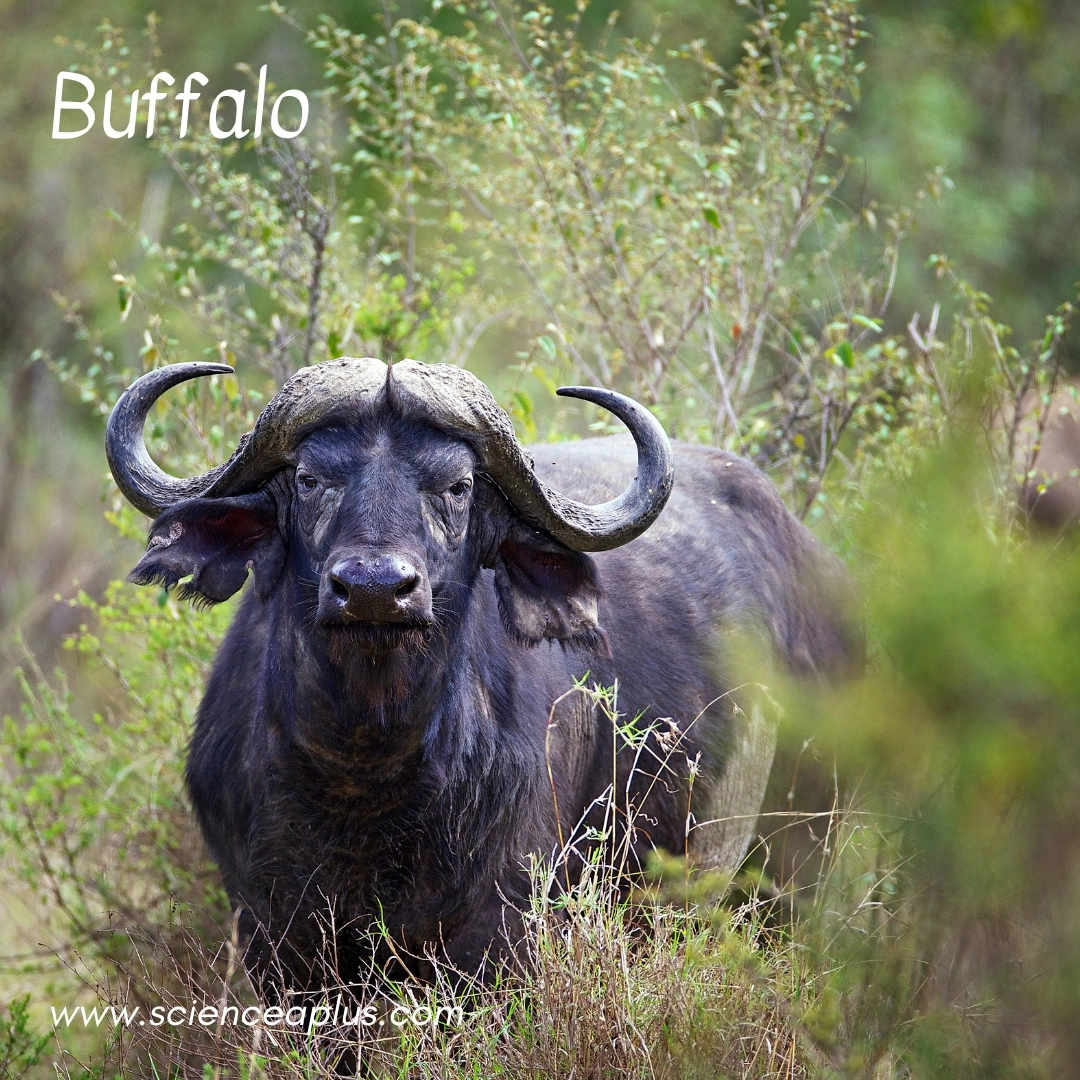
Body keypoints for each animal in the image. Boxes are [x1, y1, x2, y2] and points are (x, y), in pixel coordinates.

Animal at [105, 357, 859, 991]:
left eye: (457, 486)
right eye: (310, 479)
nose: (375, 588)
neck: (363, 775)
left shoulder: (499, 936)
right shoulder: (277, 940)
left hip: (794, 872)